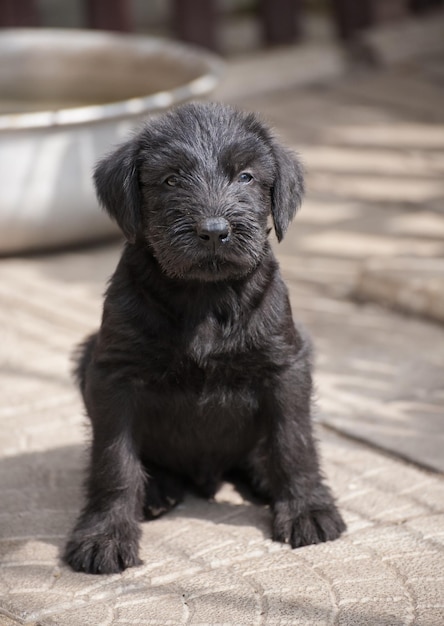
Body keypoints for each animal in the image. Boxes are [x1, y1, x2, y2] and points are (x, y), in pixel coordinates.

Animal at [64, 101, 346, 572]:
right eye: (171, 179)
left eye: (246, 176)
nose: (214, 230)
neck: (204, 297)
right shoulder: (113, 375)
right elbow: (113, 461)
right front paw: (104, 534)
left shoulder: (285, 367)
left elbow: (294, 440)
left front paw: (307, 508)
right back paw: (157, 490)